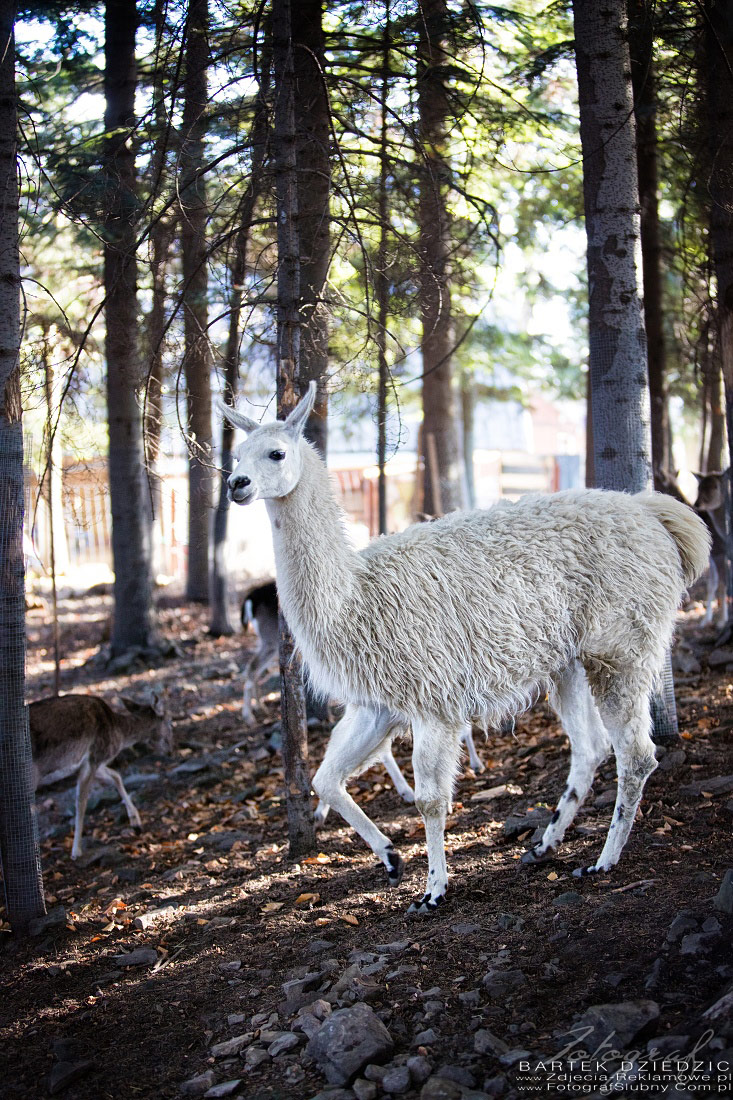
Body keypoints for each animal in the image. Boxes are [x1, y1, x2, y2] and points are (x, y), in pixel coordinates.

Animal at [30, 695, 171, 858]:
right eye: (169, 720)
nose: (170, 750)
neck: (119, 734)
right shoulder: (93, 758)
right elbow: (81, 803)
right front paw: (76, 851)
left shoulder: (93, 764)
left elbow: (116, 776)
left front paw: (136, 823)